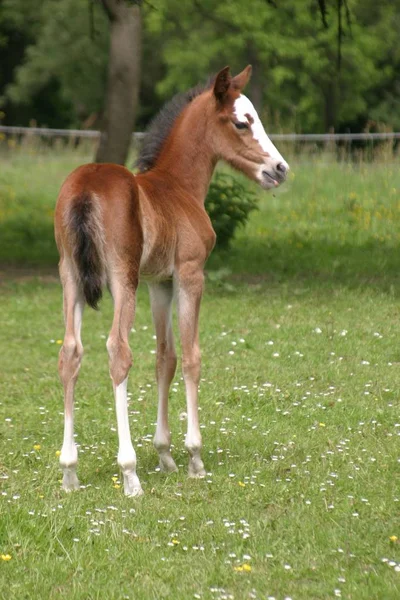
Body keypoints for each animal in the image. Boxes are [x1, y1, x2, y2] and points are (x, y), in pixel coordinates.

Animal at [54, 65, 290, 496]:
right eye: (242, 122)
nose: (279, 169)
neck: (178, 187)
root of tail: (85, 189)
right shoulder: (190, 274)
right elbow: (192, 356)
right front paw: (194, 456)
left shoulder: (159, 283)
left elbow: (165, 357)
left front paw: (165, 455)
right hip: (122, 278)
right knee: (118, 350)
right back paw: (129, 473)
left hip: (71, 277)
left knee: (70, 352)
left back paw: (69, 471)